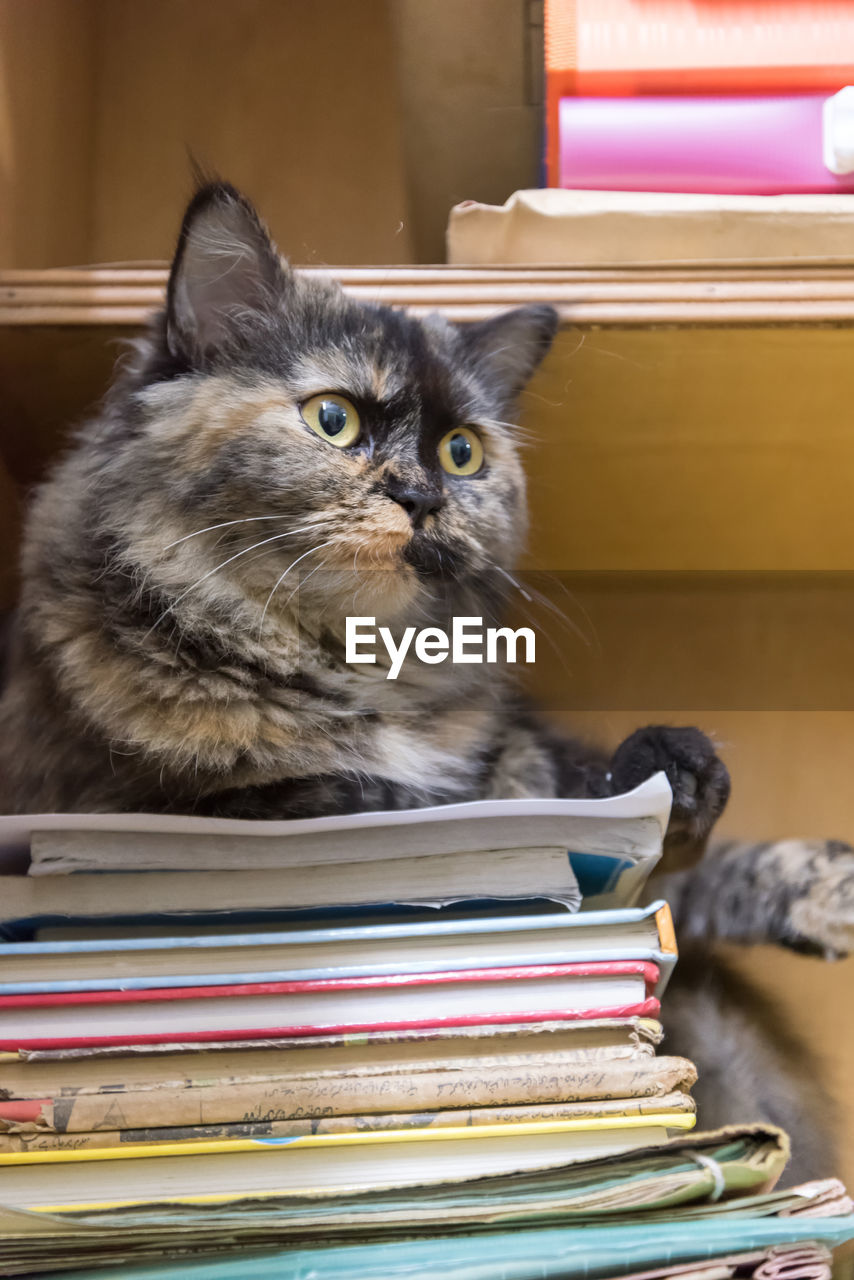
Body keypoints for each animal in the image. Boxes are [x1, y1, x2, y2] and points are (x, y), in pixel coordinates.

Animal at [0, 180, 850, 1177]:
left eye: (461, 453)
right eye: (333, 419)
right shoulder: (171, 803)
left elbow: (672, 847)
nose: (421, 496)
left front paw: (802, 869)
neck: (362, 673)